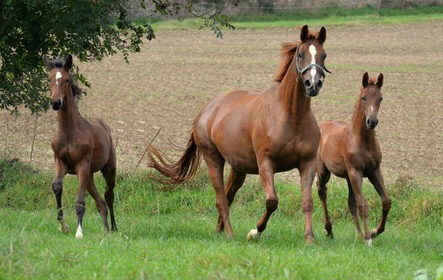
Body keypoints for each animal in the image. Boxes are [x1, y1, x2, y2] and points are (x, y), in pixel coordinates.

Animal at [41, 54, 117, 238]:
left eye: (67, 80)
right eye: (49, 79)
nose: (56, 103)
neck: (69, 132)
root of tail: (104, 126)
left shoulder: (82, 166)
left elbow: (80, 202)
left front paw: (79, 232)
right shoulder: (60, 163)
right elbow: (57, 186)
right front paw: (64, 227)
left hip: (108, 169)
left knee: (109, 194)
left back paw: (113, 228)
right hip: (89, 177)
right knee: (101, 202)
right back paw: (106, 230)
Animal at [147, 25, 332, 243]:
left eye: (323, 55)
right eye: (301, 54)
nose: (313, 84)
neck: (291, 116)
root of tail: (206, 110)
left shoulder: (307, 164)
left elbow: (307, 202)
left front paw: (310, 239)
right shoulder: (266, 163)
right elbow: (271, 201)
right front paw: (255, 231)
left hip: (238, 168)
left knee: (228, 196)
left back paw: (219, 231)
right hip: (213, 159)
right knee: (221, 199)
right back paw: (230, 234)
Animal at [316, 71, 392, 245]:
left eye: (380, 98)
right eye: (364, 97)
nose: (372, 121)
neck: (362, 140)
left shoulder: (374, 171)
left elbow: (386, 201)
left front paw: (374, 231)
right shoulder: (356, 172)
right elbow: (362, 204)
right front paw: (368, 239)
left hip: (348, 177)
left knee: (350, 202)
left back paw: (358, 234)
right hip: (325, 172)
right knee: (322, 191)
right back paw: (329, 230)